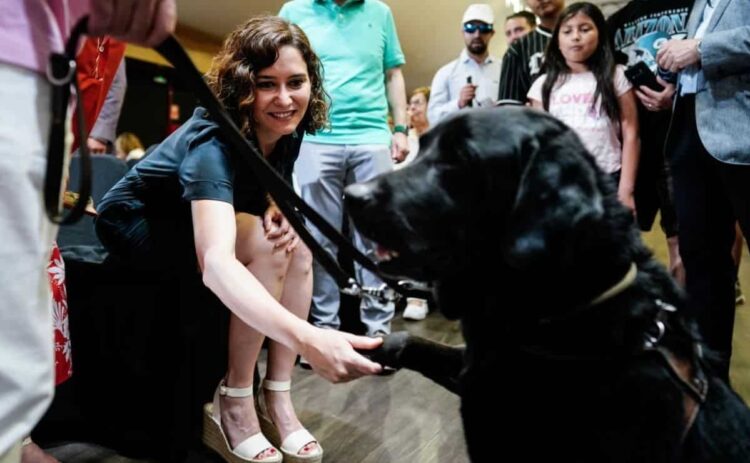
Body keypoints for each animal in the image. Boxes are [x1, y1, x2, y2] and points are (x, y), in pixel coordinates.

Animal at [346, 109, 750, 463]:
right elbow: (410, 342)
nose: (352, 195)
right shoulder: (479, 368)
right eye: (421, 148)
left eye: (459, 160)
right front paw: (371, 347)